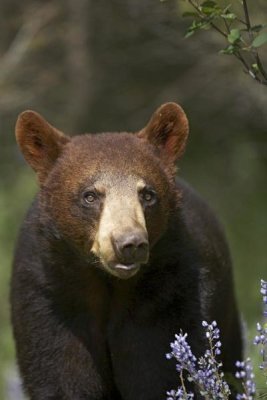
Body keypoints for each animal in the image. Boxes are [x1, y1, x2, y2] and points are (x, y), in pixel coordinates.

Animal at [11, 103, 244, 400]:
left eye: (147, 194)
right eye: (90, 195)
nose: (129, 243)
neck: (107, 283)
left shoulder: (168, 298)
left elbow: (158, 375)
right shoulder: (50, 299)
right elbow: (62, 376)